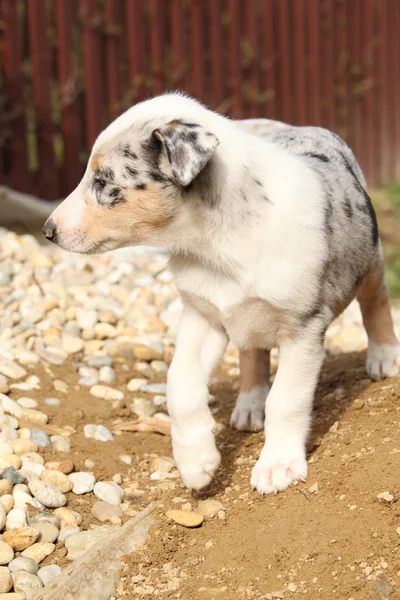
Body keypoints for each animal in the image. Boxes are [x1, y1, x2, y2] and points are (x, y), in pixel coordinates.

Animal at [43, 94, 400, 494]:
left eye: (104, 181)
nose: (47, 231)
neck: (216, 246)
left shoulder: (303, 329)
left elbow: (286, 399)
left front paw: (277, 465)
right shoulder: (202, 316)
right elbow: (179, 382)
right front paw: (195, 461)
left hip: (370, 259)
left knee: (375, 300)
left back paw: (384, 357)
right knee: (252, 352)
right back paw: (249, 404)